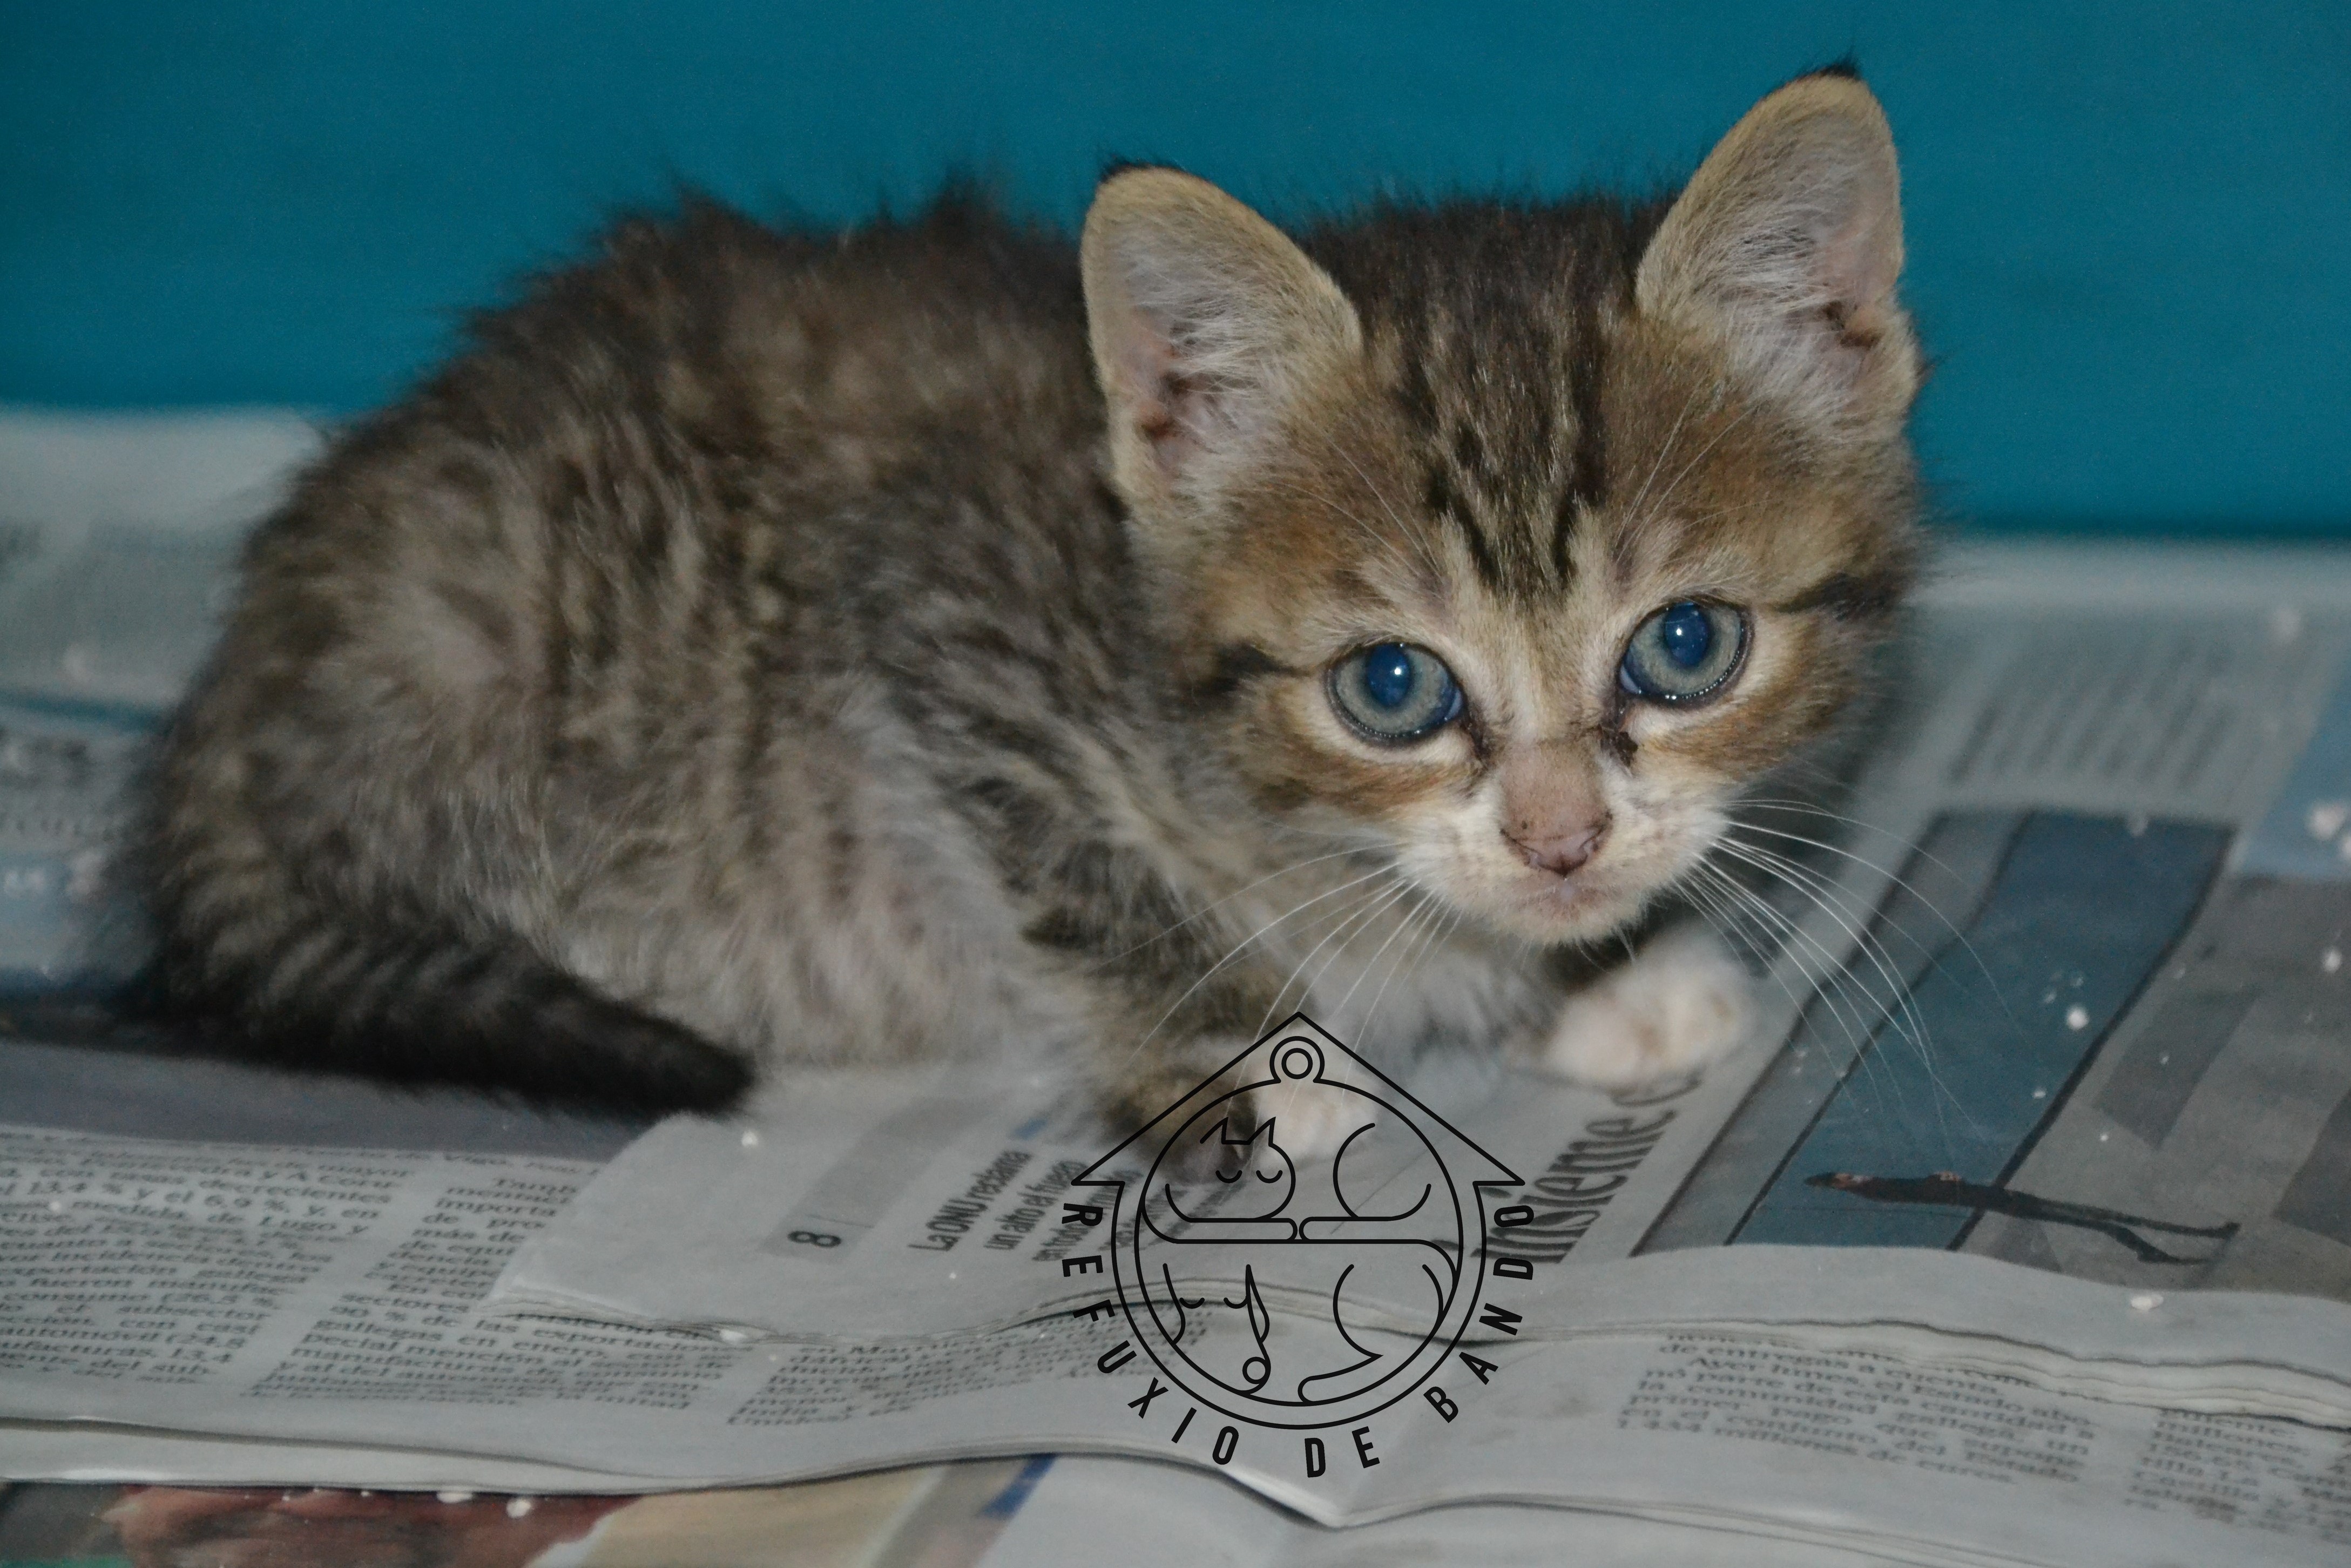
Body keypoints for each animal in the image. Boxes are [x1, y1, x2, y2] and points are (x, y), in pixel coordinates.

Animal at [142, 68, 1920, 1131]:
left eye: (1683, 646)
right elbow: (1088, 880)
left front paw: (1610, 974)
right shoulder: (938, 624)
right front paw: (1287, 1071)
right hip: (479, 635)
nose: (1559, 840)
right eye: (1392, 689)